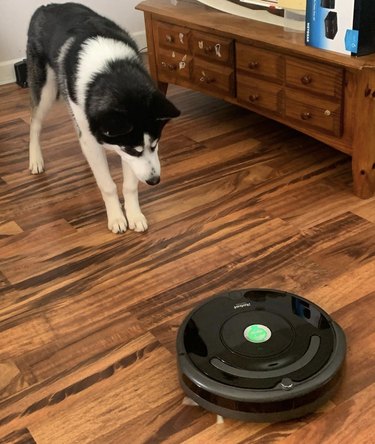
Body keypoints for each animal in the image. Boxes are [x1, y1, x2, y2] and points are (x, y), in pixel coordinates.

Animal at [26, 1, 179, 232]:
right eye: (134, 150)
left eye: (155, 145)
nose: (154, 181)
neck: (111, 70)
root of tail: (47, 6)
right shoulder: (112, 142)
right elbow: (107, 184)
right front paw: (116, 217)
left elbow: (129, 185)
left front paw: (134, 215)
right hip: (46, 90)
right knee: (35, 123)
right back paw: (35, 159)